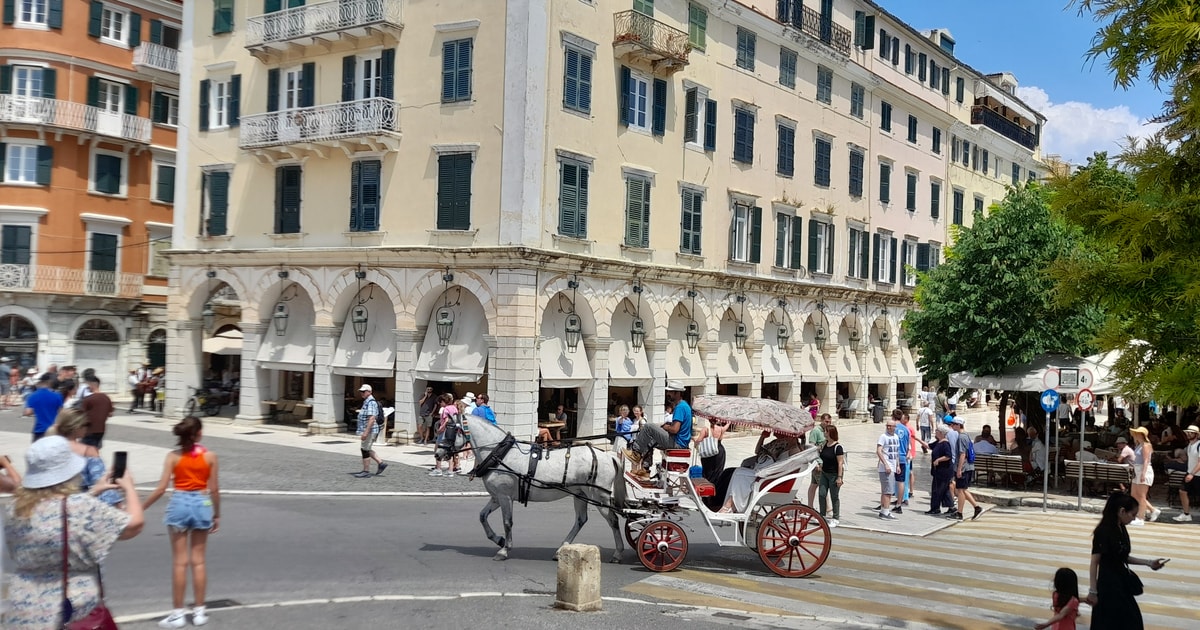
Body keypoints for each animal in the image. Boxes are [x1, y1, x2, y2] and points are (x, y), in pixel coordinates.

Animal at [456, 417, 628, 559]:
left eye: (450, 426)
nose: (445, 452)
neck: (501, 455)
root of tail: (609, 456)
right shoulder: (497, 497)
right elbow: (482, 516)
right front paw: (498, 539)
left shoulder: (505, 497)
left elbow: (507, 522)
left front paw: (504, 550)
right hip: (581, 494)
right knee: (581, 519)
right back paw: (561, 549)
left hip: (599, 497)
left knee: (612, 520)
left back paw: (618, 553)